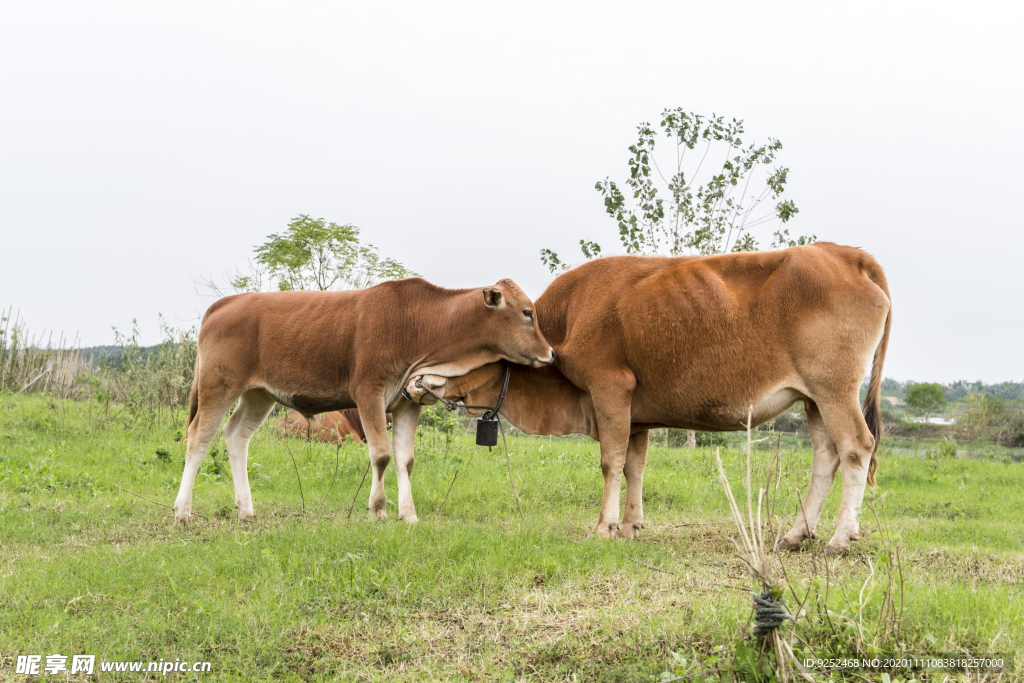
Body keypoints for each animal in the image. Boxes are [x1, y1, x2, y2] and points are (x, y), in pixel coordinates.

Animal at [172, 278, 552, 524]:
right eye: (527, 313)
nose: (550, 353)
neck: (420, 323)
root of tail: (226, 303)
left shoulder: (407, 403)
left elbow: (405, 460)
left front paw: (409, 514)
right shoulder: (368, 392)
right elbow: (381, 454)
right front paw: (378, 509)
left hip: (259, 394)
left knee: (236, 436)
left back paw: (247, 509)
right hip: (218, 386)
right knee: (198, 438)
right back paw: (182, 510)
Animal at [405, 244, 888, 557]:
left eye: (465, 343)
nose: (414, 379)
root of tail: (844, 253)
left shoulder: (610, 388)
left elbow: (611, 461)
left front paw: (604, 526)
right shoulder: (636, 413)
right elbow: (634, 464)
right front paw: (631, 525)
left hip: (834, 390)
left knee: (856, 448)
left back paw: (840, 539)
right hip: (814, 399)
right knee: (826, 457)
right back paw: (795, 535)